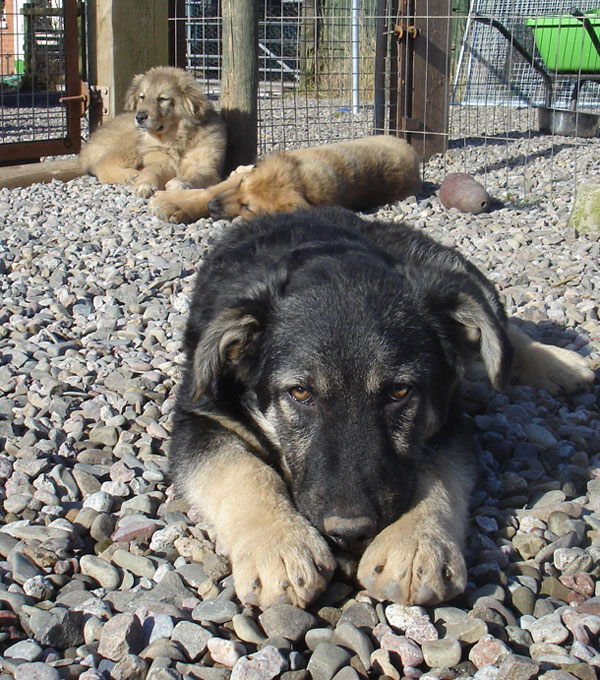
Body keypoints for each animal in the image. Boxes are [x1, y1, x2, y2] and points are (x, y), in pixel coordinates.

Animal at [81, 66, 226, 198]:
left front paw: (178, 183)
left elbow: (195, 175)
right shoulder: (159, 160)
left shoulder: (205, 165)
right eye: (142, 97)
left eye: (162, 99)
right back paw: (132, 175)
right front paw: (145, 184)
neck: (175, 138)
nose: (139, 117)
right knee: (100, 166)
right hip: (129, 146)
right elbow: (151, 171)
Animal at [150, 135, 422, 223]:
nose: (212, 207)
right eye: (241, 186)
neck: (304, 181)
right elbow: (208, 190)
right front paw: (174, 202)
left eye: (248, 207)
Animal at [168, 209, 592, 612]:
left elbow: (438, 471)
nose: (349, 533)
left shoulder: (447, 419)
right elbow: (240, 470)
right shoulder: (198, 414)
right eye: (300, 393)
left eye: (399, 392)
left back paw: (559, 364)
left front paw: (416, 544)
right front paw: (279, 545)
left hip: (450, 269)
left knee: (499, 330)